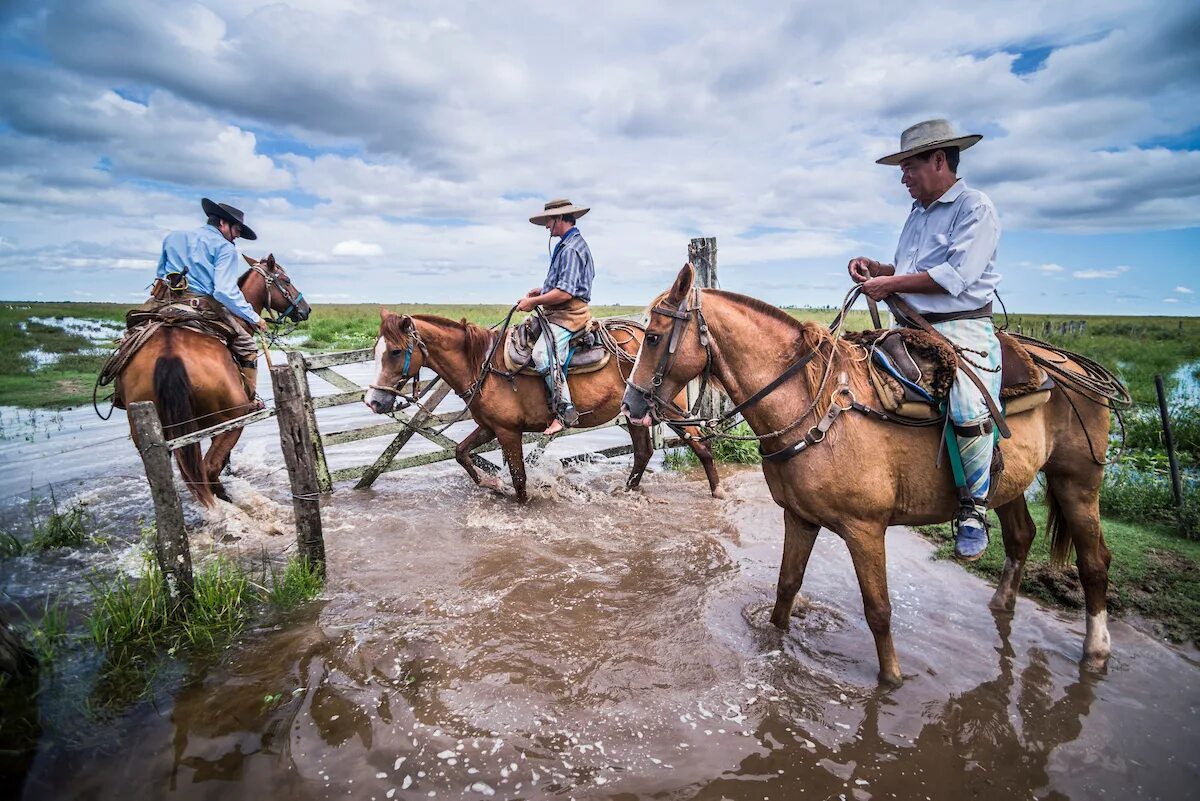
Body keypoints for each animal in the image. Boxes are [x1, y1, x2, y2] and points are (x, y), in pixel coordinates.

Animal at [120, 255, 309, 506]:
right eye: (286, 280)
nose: (305, 309)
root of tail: (170, 353)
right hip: (231, 421)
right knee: (208, 469)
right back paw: (226, 500)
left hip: (151, 436)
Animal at [364, 311, 720, 503]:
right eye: (377, 349)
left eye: (395, 351)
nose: (374, 401)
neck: (483, 366)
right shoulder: (489, 427)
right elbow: (461, 453)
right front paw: (493, 485)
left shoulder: (508, 432)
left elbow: (520, 478)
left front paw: (516, 499)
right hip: (635, 414)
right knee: (644, 452)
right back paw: (628, 491)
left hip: (670, 411)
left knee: (701, 446)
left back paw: (716, 491)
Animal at [628, 266, 1113, 685]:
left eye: (652, 337)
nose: (631, 404)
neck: (817, 409)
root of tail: (1071, 366)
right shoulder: (799, 517)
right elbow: (787, 587)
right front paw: (775, 641)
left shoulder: (865, 529)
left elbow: (878, 609)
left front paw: (891, 680)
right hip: (1012, 484)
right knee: (1021, 536)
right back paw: (1002, 603)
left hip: (1076, 481)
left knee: (1094, 562)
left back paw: (1097, 649)